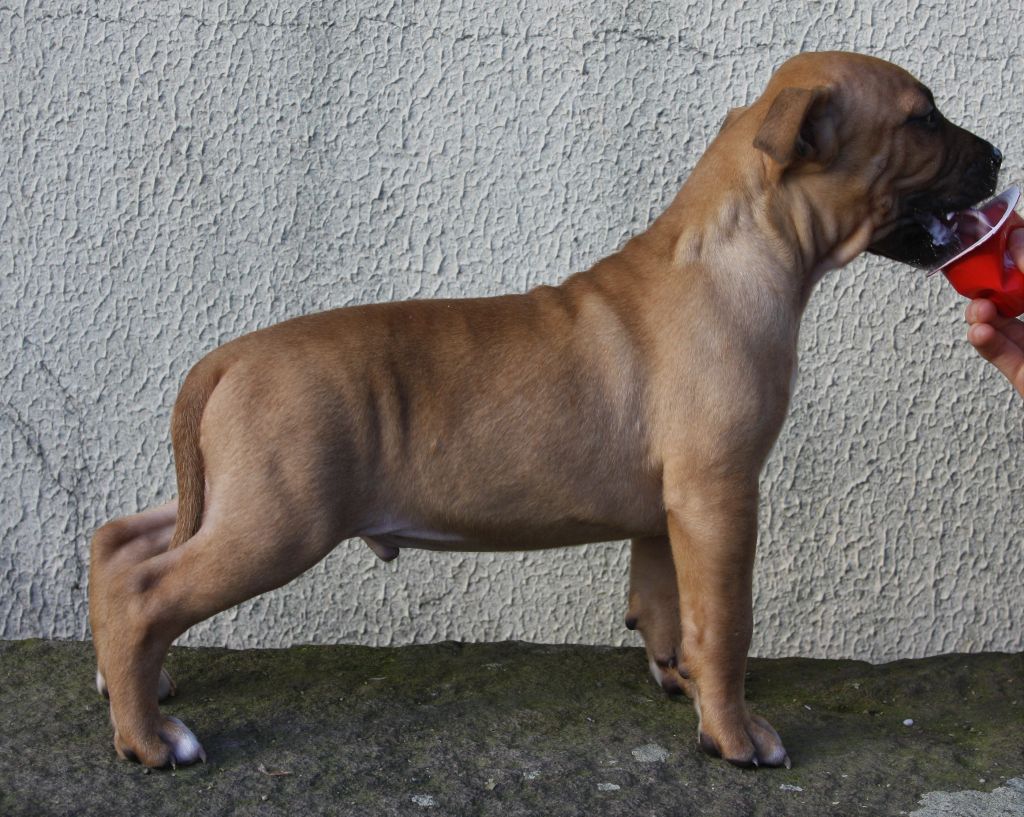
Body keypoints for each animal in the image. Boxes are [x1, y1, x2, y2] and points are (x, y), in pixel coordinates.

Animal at [89, 51, 1001, 768]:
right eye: (923, 118)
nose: (996, 155)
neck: (740, 248)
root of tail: (226, 357)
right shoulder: (720, 492)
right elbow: (726, 621)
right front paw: (737, 733)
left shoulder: (672, 506)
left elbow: (667, 603)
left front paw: (680, 679)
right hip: (281, 516)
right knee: (148, 592)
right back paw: (149, 736)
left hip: (236, 493)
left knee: (122, 540)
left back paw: (127, 677)